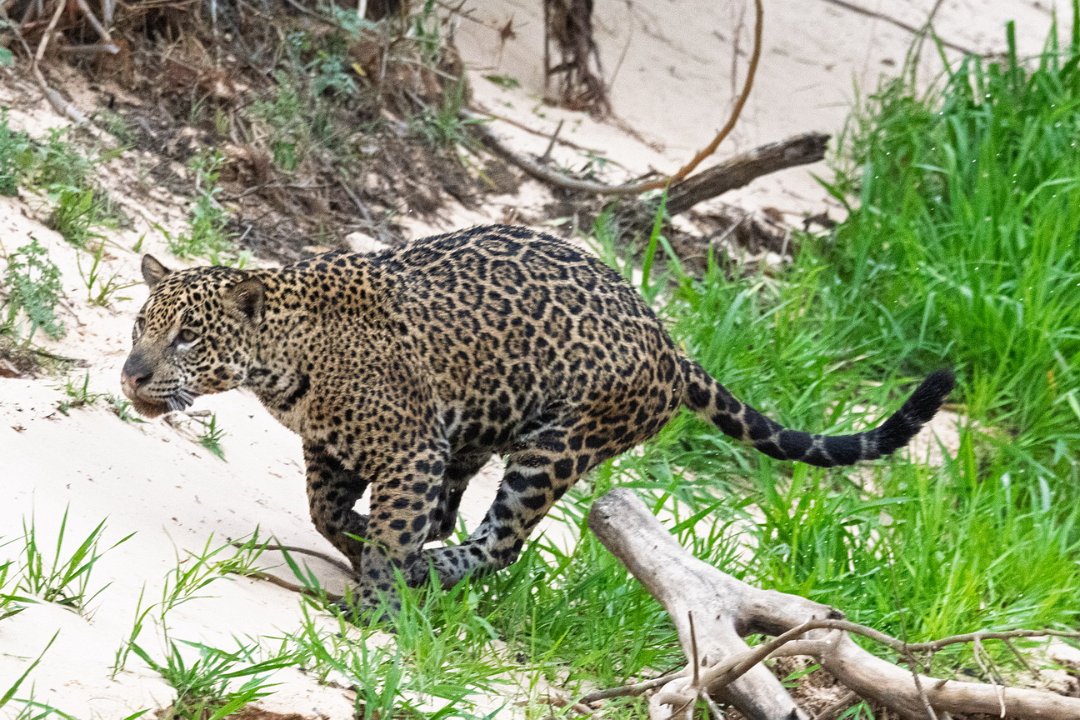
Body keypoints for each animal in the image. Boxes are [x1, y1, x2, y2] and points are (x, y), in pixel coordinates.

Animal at [121, 224, 954, 613]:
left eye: (187, 336)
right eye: (139, 323)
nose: (132, 374)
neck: (280, 359)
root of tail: (671, 347)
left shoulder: (411, 450)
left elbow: (391, 527)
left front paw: (378, 600)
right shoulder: (336, 448)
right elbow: (328, 511)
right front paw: (358, 545)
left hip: (556, 446)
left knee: (501, 543)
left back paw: (431, 568)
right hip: (485, 426)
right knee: (460, 516)